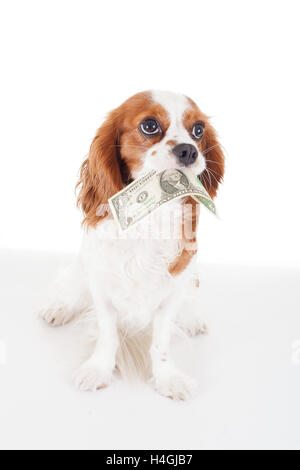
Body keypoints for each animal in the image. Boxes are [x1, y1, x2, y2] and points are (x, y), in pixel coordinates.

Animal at [41, 91, 224, 400]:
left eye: (198, 130)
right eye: (149, 126)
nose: (189, 151)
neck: (148, 221)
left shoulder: (173, 288)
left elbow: (161, 339)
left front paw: (167, 377)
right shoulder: (101, 283)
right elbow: (108, 333)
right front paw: (99, 369)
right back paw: (60, 308)